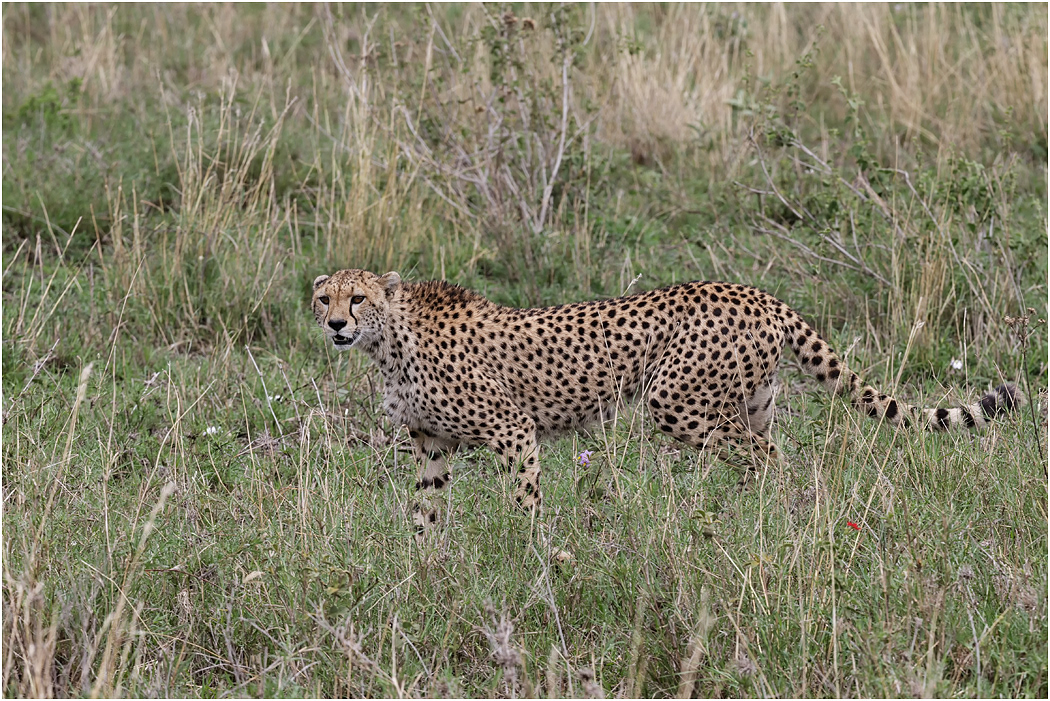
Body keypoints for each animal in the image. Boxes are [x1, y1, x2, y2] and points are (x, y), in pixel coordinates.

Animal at [312, 268, 1021, 526]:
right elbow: (425, 511)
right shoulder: (430, 442)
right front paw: (425, 567)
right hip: (752, 402)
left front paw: (523, 554)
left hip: (675, 400)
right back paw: (754, 520)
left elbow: (523, 499)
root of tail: (756, 292)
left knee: (766, 459)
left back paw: (757, 518)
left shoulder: (513, 429)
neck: (390, 338)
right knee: (770, 454)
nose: (336, 324)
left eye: (359, 298)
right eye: (325, 297)